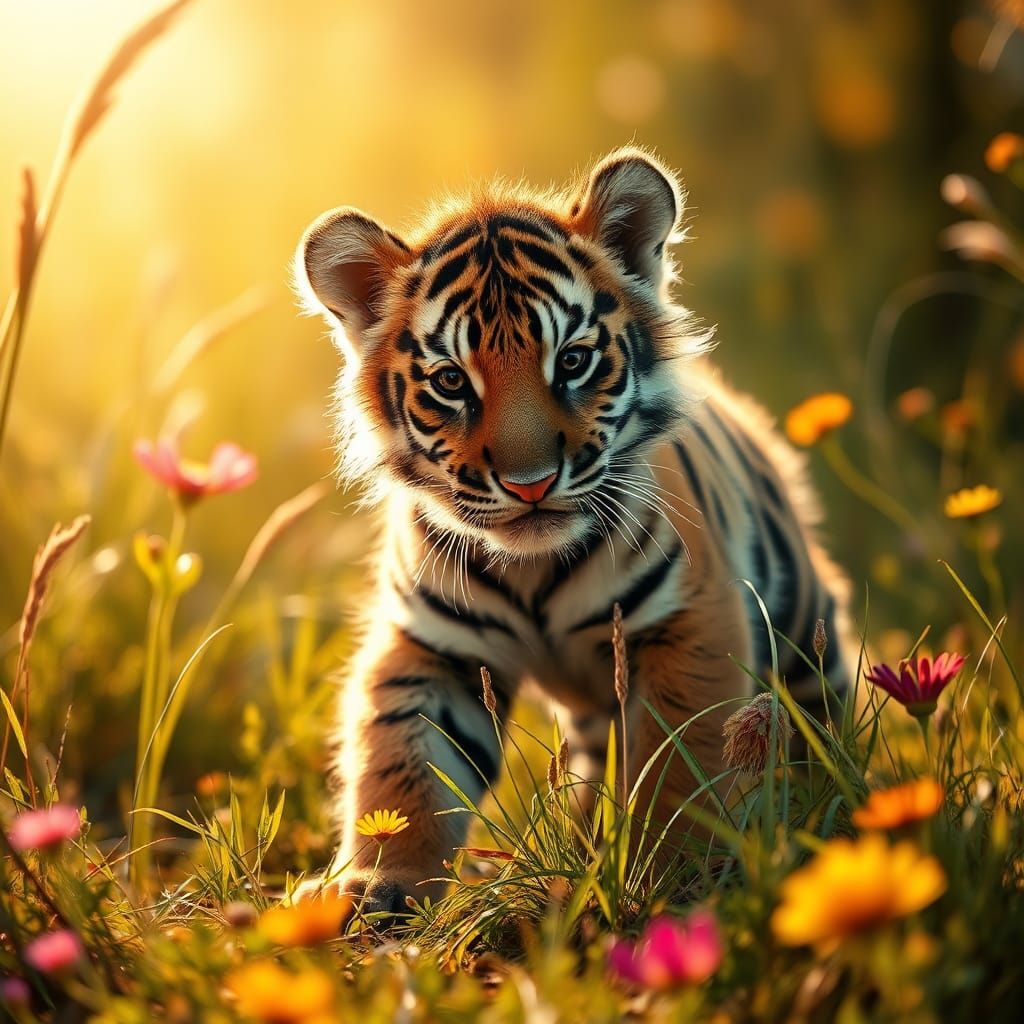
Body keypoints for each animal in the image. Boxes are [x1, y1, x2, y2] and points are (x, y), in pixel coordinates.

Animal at [294, 147, 851, 912]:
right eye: (451, 382)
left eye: (573, 361)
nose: (529, 483)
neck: (531, 570)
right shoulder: (435, 650)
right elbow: (403, 767)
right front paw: (377, 886)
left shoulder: (688, 623)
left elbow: (679, 766)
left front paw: (671, 877)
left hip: (800, 627)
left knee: (818, 717)